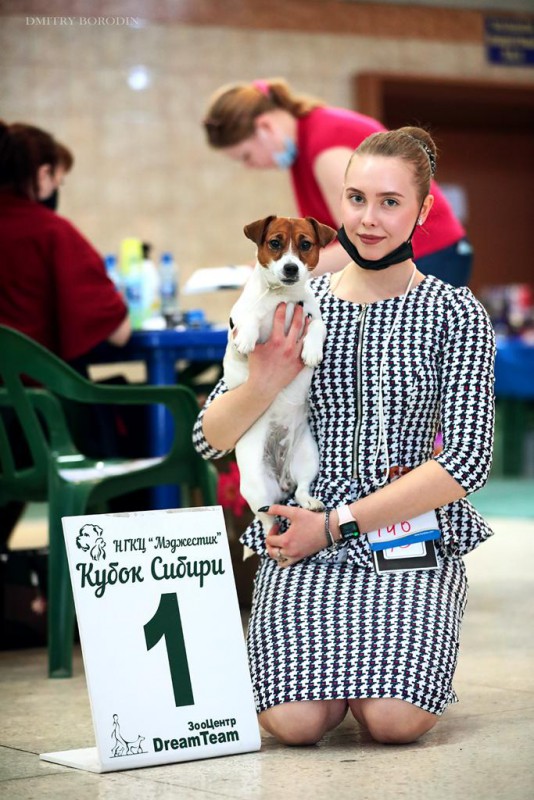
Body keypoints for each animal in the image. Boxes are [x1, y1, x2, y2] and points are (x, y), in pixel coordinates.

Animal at [222, 215, 336, 533]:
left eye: (305, 245)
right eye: (275, 243)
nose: (290, 268)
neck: (281, 298)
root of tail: (282, 479)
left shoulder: (312, 317)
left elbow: (318, 325)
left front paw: (312, 351)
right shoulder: (238, 328)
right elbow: (249, 318)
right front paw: (247, 338)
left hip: (308, 456)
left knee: (301, 490)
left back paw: (310, 501)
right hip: (255, 485)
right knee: (266, 517)